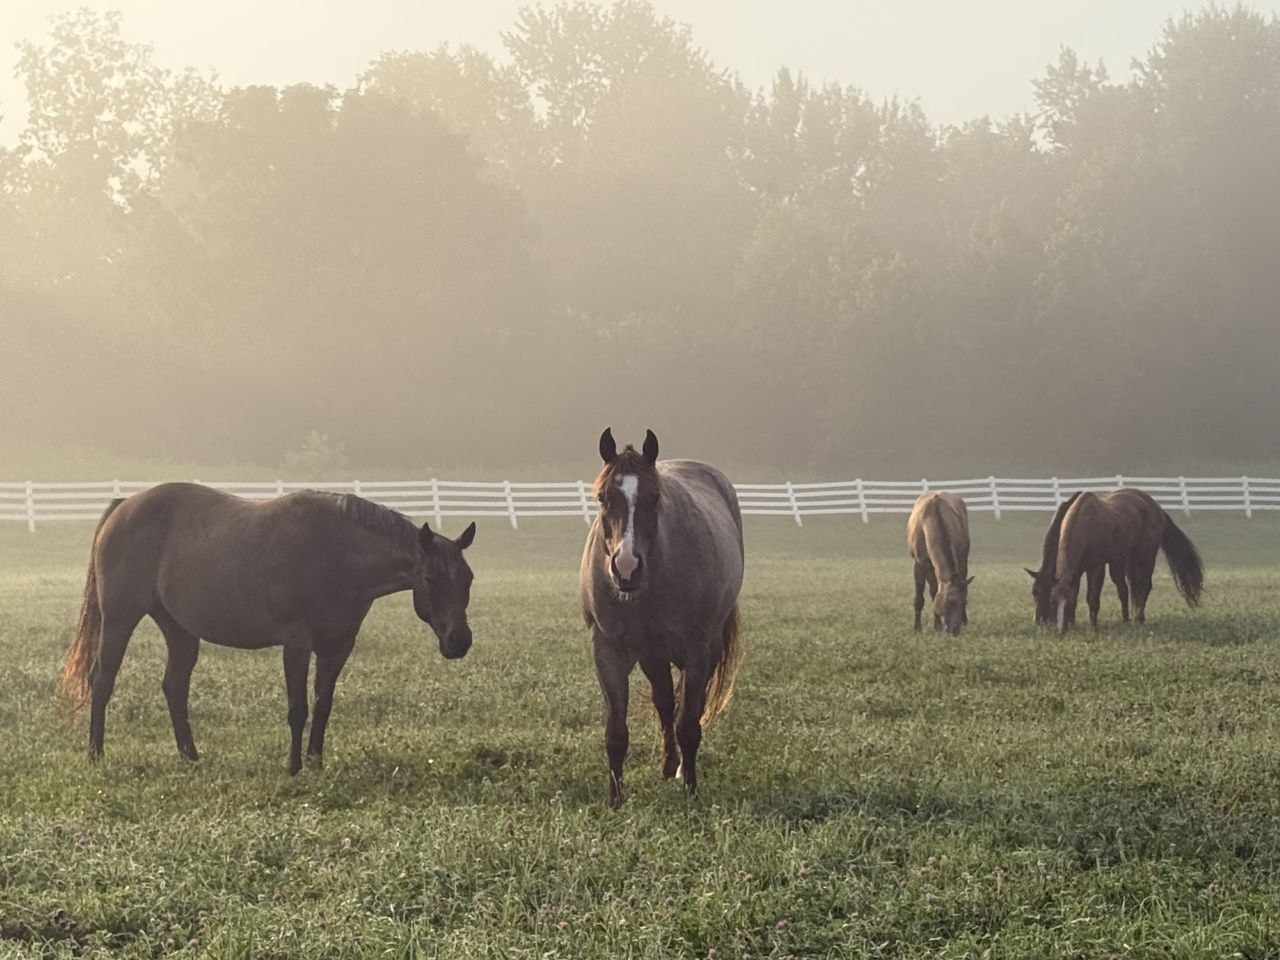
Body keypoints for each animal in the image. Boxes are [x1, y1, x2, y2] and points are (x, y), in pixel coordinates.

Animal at [56, 482, 477, 773]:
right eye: (432, 579)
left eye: (468, 580)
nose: (459, 641)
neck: (335, 552)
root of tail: (124, 505)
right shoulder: (297, 643)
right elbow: (298, 708)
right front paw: (293, 767)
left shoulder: (337, 646)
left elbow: (323, 705)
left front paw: (316, 762)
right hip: (120, 619)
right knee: (102, 680)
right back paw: (95, 755)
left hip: (179, 630)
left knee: (174, 687)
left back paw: (191, 757)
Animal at [579, 429, 744, 808]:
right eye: (602, 497)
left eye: (654, 497)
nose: (626, 568)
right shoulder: (608, 652)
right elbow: (616, 731)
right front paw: (615, 799)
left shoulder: (698, 651)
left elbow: (689, 724)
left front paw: (691, 789)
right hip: (653, 657)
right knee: (665, 702)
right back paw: (669, 763)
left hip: (704, 650)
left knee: (686, 706)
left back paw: (680, 768)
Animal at [906, 491, 972, 636]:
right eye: (951, 601)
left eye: (963, 601)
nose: (954, 631)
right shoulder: (920, 563)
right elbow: (921, 597)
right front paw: (917, 628)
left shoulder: (959, 556)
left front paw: (937, 625)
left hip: (964, 554)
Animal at [1027, 487, 1202, 634]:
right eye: (1035, 593)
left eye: (1046, 595)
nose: (1039, 621)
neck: (1084, 521)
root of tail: (1155, 507)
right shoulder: (1076, 571)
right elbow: (1077, 594)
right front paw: (1072, 623)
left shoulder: (1096, 567)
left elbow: (1092, 598)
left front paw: (1093, 626)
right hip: (1124, 560)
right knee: (1127, 588)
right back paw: (1126, 619)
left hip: (1145, 556)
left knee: (1144, 586)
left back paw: (1139, 618)